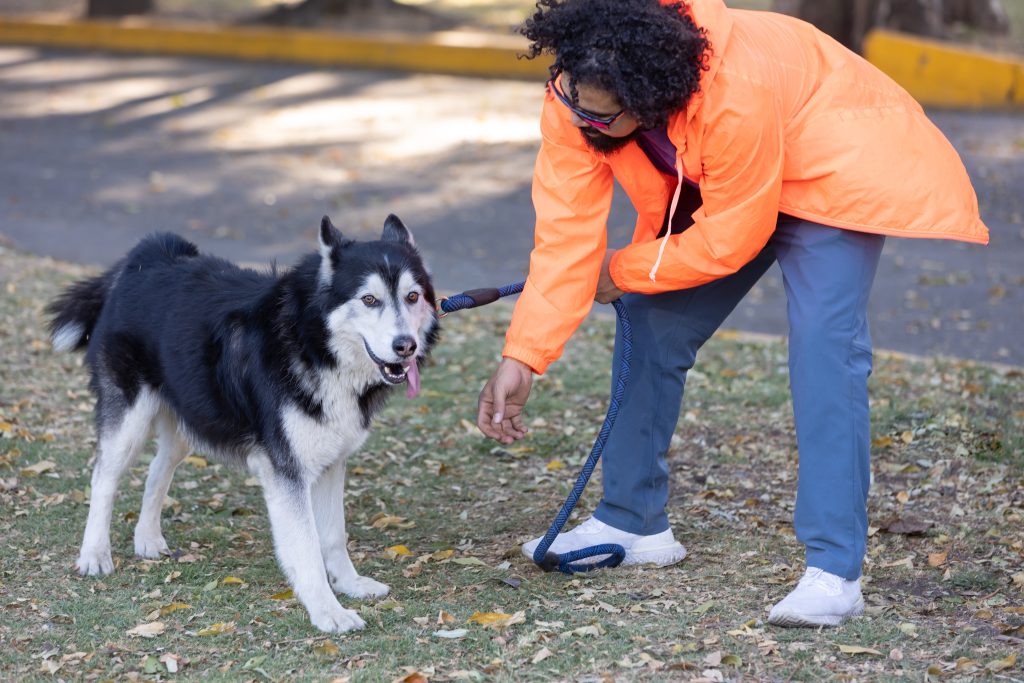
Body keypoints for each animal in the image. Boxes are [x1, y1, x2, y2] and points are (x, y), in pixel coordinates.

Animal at [47, 215, 436, 634]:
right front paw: (327, 610)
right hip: (130, 420)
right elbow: (306, 548)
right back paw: (94, 554)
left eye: (412, 297)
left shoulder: (331, 461)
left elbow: (333, 535)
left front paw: (350, 584)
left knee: (157, 469)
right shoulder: (286, 472)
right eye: (369, 300)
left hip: (190, 417)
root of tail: (145, 256)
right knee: (103, 478)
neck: (312, 342)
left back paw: (148, 538)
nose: (405, 346)